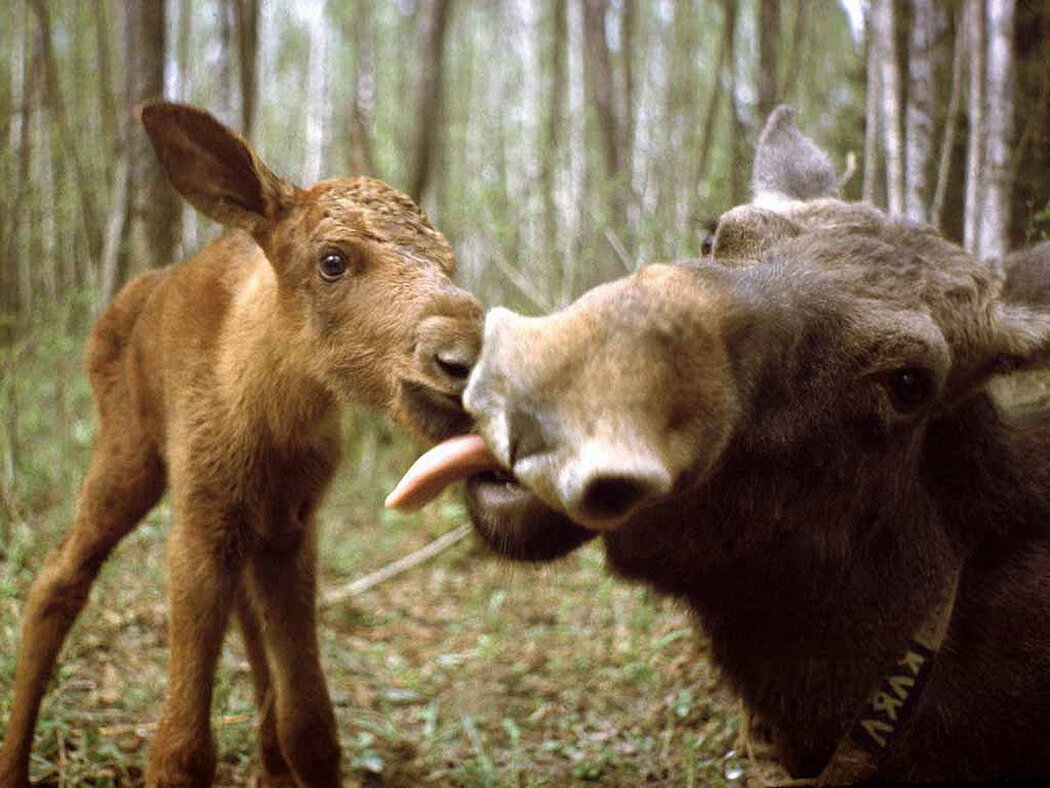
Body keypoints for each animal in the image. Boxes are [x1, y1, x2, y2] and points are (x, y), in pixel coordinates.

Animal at [0, 105, 482, 788]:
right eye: (332, 260)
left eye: (447, 261)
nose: (463, 357)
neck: (269, 415)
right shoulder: (200, 520)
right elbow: (180, 751)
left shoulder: (293, 527)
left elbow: (312, 727)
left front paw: (288, 752)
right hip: (128, 452)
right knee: (58, 576)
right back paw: (14, 763)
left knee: (247, 626)